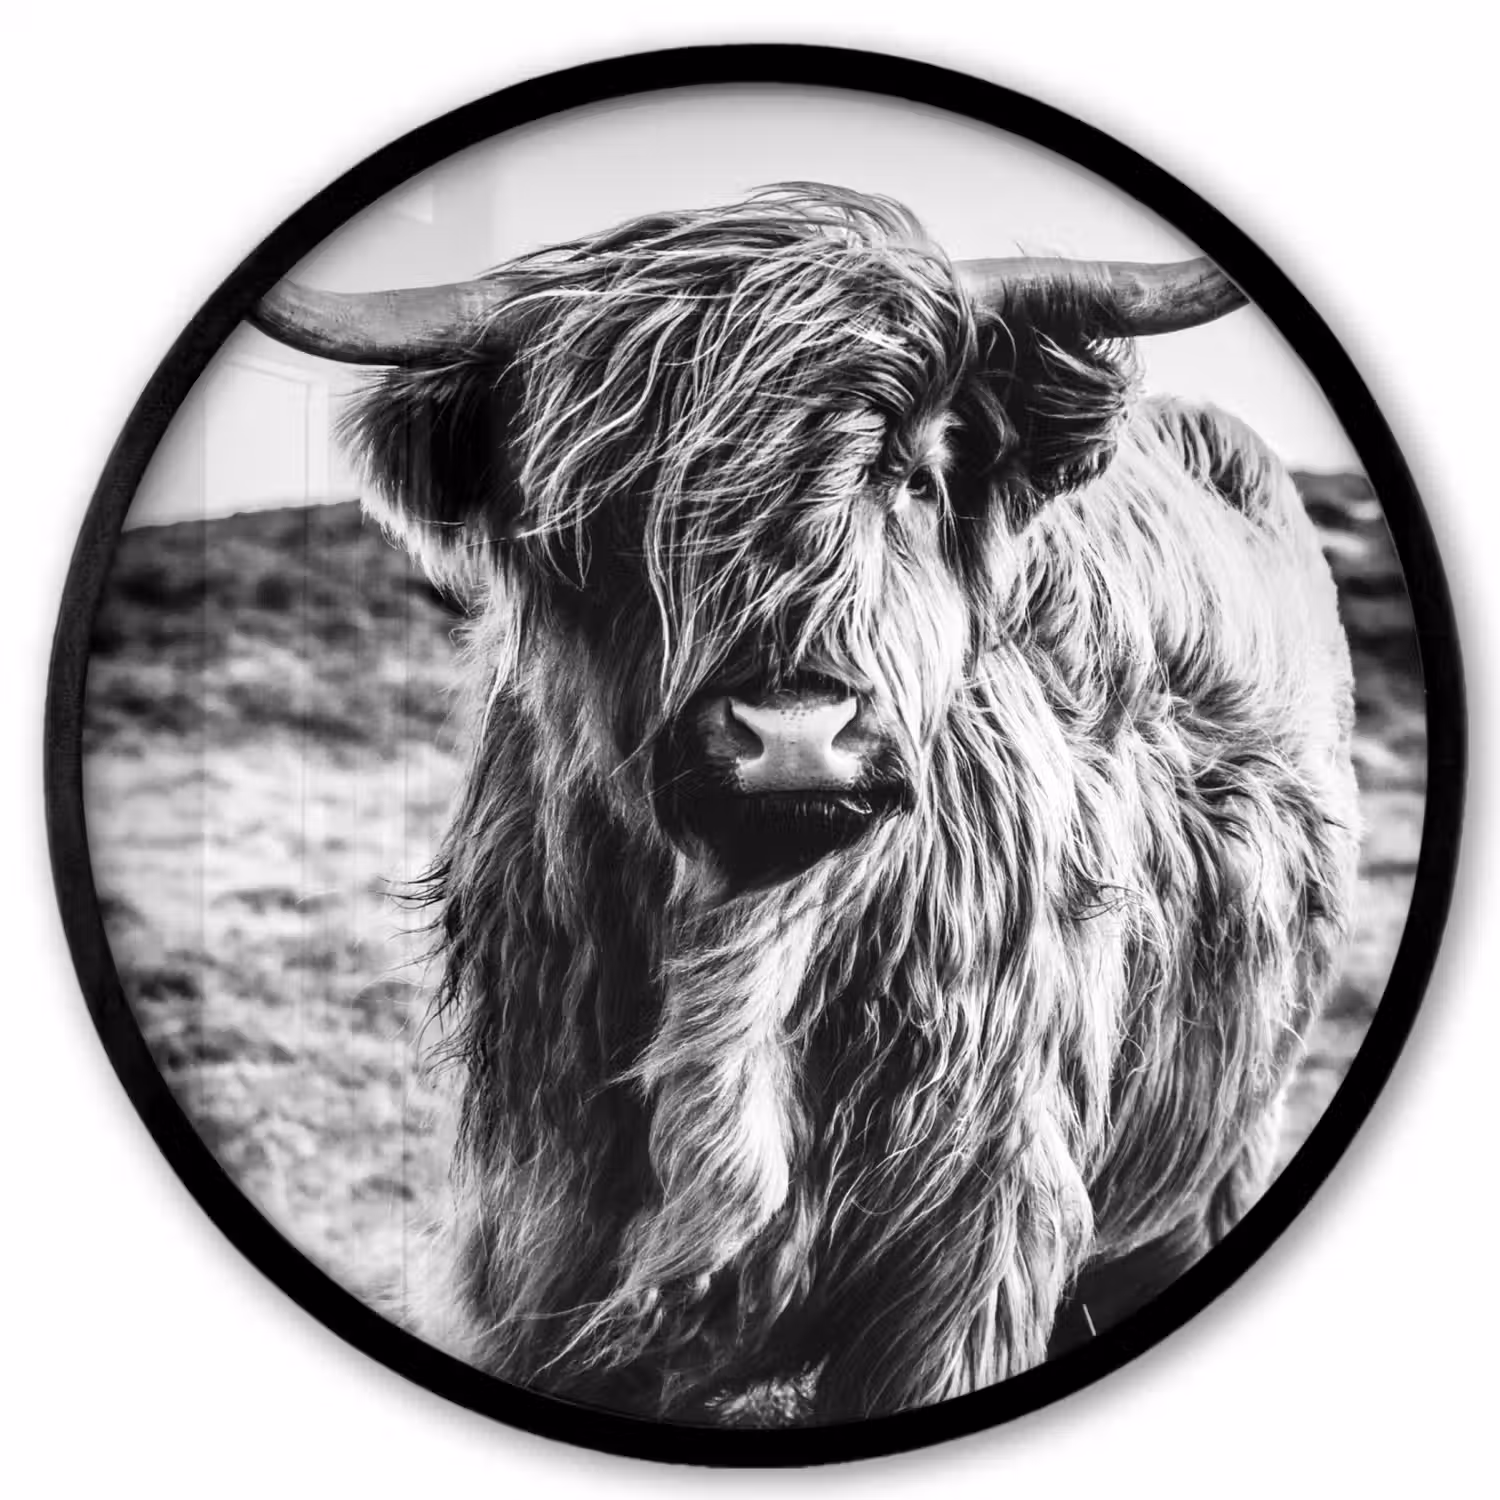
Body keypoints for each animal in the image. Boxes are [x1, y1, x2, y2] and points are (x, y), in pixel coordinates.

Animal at [252, 184, 1360, 1422]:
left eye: (914, 475)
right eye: (611, 508)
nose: (793, 732)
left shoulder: (977, 1234)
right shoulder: (539, 1237)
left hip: (1226, 1145)